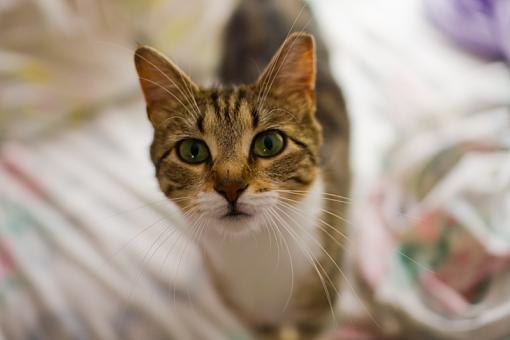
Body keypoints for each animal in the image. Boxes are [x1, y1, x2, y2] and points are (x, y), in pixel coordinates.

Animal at [133, 0, 350, 338]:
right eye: (192, 151)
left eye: (269, 144)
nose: (230, 187)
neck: (255, 251)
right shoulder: (252, 319)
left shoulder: (315, 314)